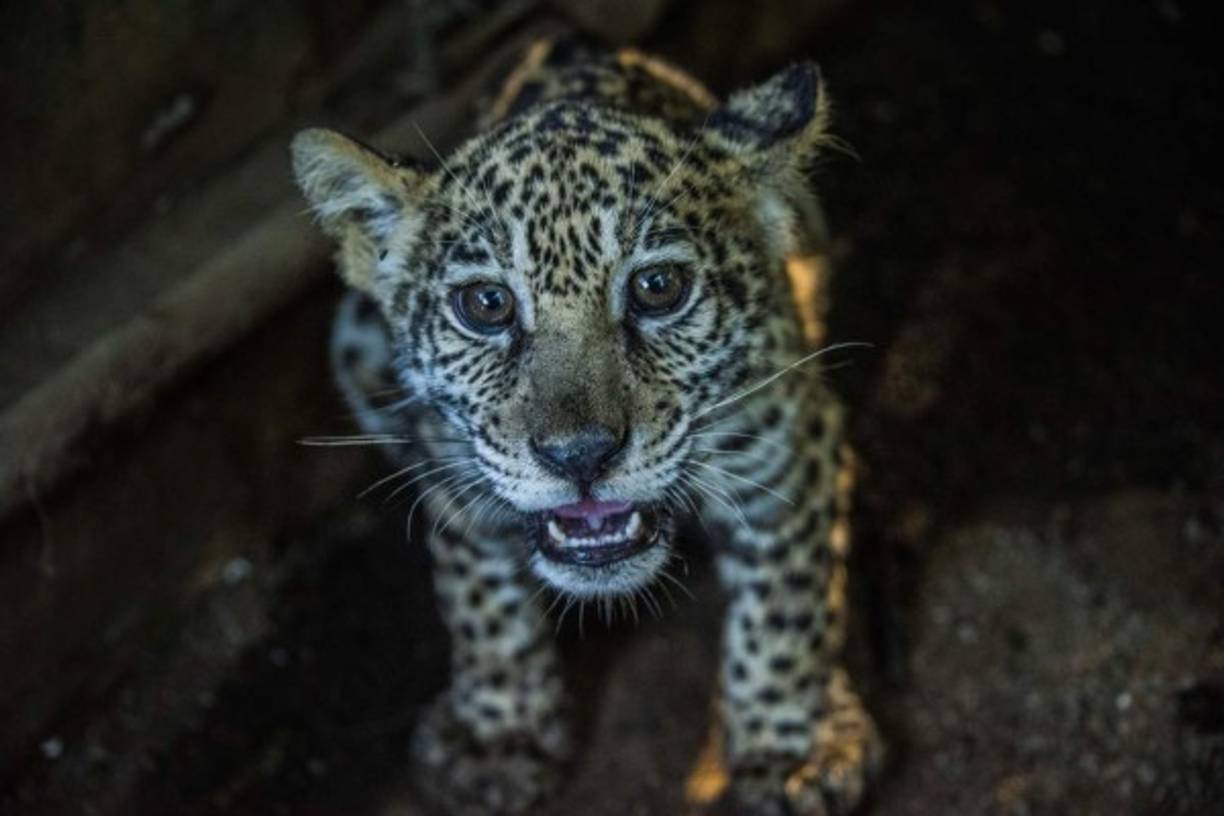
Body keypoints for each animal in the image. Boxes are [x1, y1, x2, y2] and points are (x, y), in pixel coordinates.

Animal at [292, 37, 883, 815]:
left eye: (658, 288)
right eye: (486, 304)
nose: (580, 456)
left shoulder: (784, 450)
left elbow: (787, 606)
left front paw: (791, 747)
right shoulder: (450, 466)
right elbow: (481, 598)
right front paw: (498, 732)